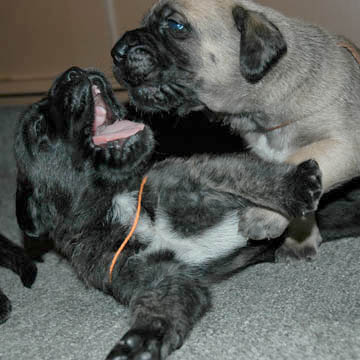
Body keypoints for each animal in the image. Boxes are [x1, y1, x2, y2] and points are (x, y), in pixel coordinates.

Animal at [15, 67, 322, 360]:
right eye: (38, 127)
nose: (72, 71)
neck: (121, 198)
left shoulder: (200, 173)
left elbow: (251, 175)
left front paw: (294, 185)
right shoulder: (156, 274)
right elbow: (162, 304)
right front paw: (143, 339)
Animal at [112, 0, 360, 258]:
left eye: (175, 25)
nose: (117, 51)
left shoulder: (342, 145)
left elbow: (299, 161)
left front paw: (265, 214)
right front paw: (300, 239)